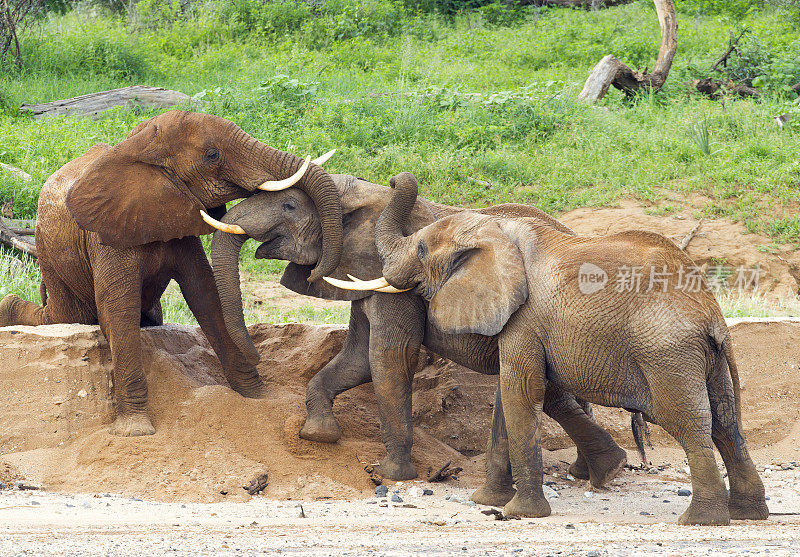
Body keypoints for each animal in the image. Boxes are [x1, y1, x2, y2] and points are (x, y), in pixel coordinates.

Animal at [0, 109, 342, 438]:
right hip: (50, 255)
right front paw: (136, 430)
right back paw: (8, 307)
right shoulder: (105, 234)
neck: (136, 146)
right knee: (65, 315)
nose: (312, 274)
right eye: (212, 155)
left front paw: (258, 397)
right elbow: (119, 310)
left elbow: (206, 293)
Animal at [203, 172, 628, 502]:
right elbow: (358, 359)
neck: (364, 195)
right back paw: (592, 472)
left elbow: (389, 357)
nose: (257, 360)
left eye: (290, 207)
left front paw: (391, 474)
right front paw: (318, 435)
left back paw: (603, 470)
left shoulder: (394, 281)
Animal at [358, 172, 768, 524]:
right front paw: (489, 503)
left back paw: (700, 520)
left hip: (668, 354)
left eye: (421, 248)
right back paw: (748, 515)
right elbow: (510, 394)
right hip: (708, 358)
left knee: (689, 422)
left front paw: (520, 514)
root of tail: (712, 314)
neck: (497, 231)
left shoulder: (525, 318)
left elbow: (521, 391)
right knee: (727, 423)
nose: (393, 179)